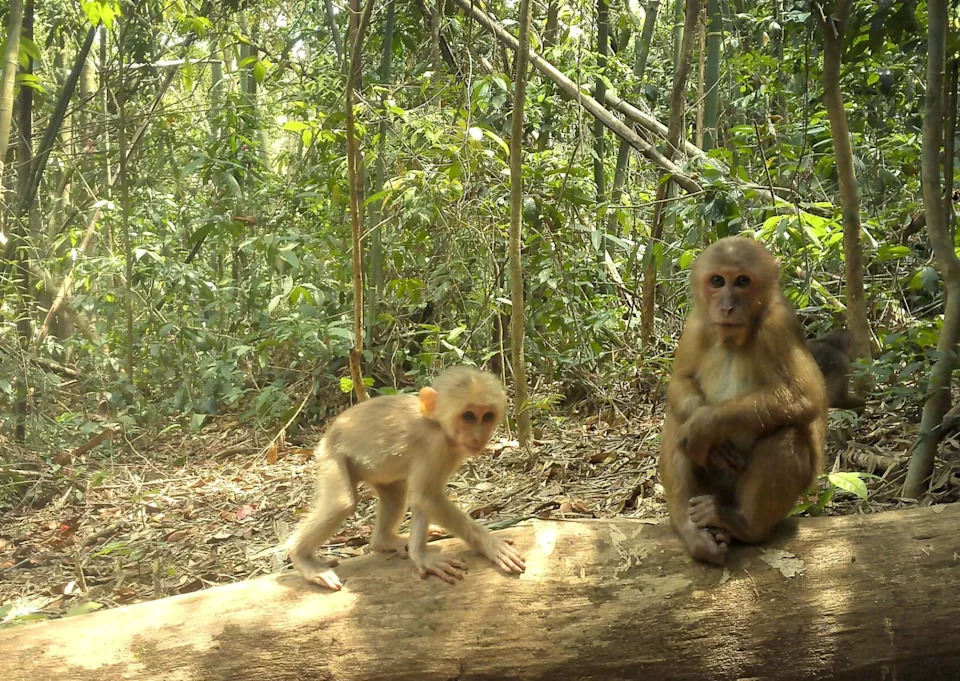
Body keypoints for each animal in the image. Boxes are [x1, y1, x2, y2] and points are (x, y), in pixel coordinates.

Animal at [288, 366, 526, 590]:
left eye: (487, 416)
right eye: (468, 416)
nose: (479, 436)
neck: (437, 426)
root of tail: (328, 435)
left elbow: (424, 500)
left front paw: (418, 552)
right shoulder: (435, 446)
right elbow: (427, 497)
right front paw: (487, 544)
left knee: (395, 496)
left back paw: (385, 540)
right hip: (330, 455)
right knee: (341, 503)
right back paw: (301, 557)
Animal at [658, 236, 828, 565]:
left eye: (742, 282)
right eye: (717, 281)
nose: (726, 307)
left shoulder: (778, 326)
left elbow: (804, 394)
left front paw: (705, 425)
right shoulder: (696, 323)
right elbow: (680, 381)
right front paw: (708, 435)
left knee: (788, 430)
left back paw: (742, 524)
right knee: (676, 418)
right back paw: (691, 528)